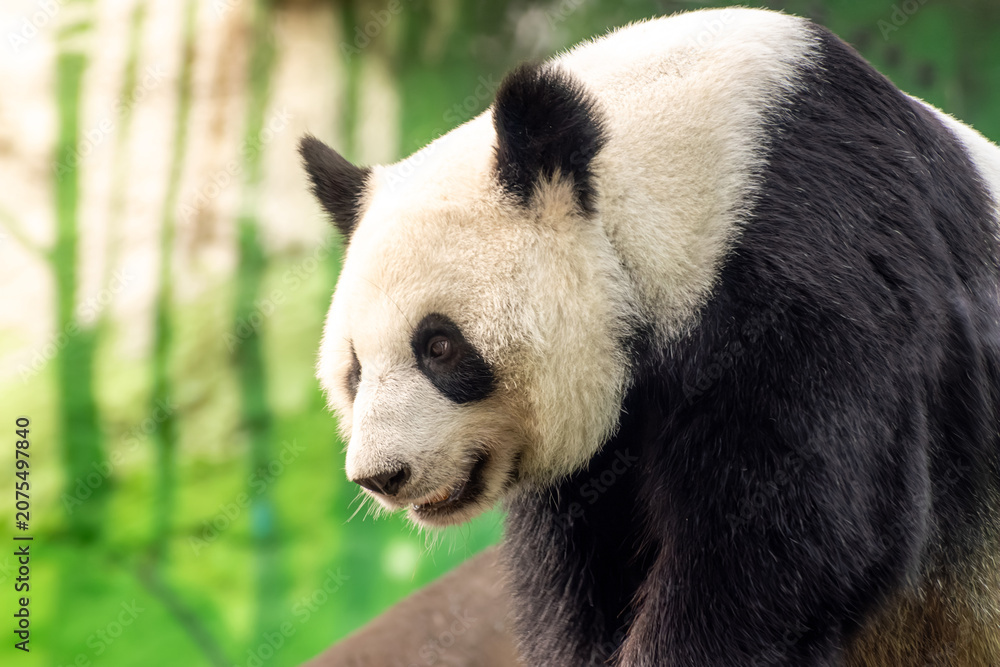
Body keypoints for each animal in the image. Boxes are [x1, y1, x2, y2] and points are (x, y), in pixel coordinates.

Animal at [300, 7, 1000, 666]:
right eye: (355, 370)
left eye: (439, 346)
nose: (381, 476)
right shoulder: (599, 460)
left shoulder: (814, 276)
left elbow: (789, 546)